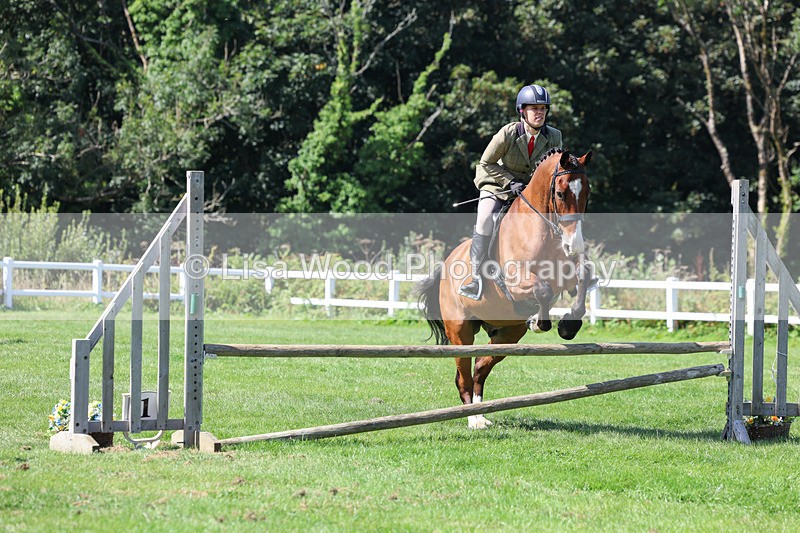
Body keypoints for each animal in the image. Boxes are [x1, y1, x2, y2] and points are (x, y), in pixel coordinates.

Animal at [416, 148, 592, 429]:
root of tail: (445, 265)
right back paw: (473, 420)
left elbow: (583, 277)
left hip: (507, 334)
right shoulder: (515, 282)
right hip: (460, 331)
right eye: (560, 193)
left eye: (586, 193)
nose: (573, 245)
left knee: (480, 367)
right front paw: (539, 322)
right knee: (464, 375)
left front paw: (568, 325)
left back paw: (481, 414)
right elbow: (542, 290)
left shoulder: (565, 275)